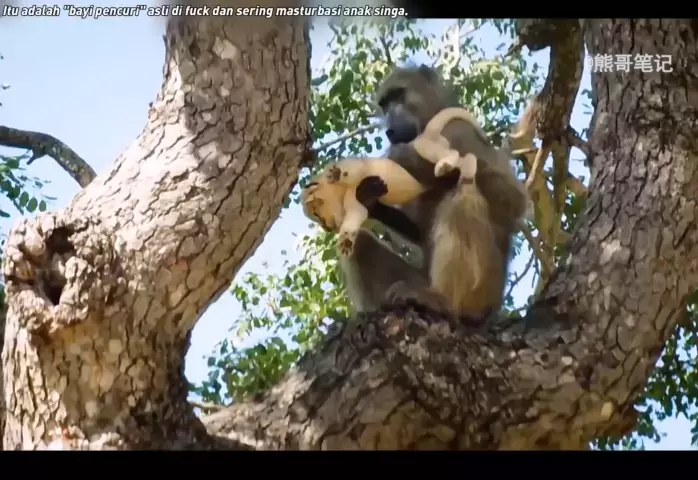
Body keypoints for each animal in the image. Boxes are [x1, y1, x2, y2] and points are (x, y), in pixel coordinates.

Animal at [336, 65, 530, 318]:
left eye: (399, 95)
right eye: (385, 104)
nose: (390, 129)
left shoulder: (459, 130)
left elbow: (513, 202)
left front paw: (411, 159)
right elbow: (419, 229)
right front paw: (368, 198)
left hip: (483, 292)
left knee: (461, 196)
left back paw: (442, 301)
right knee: (360, 243)